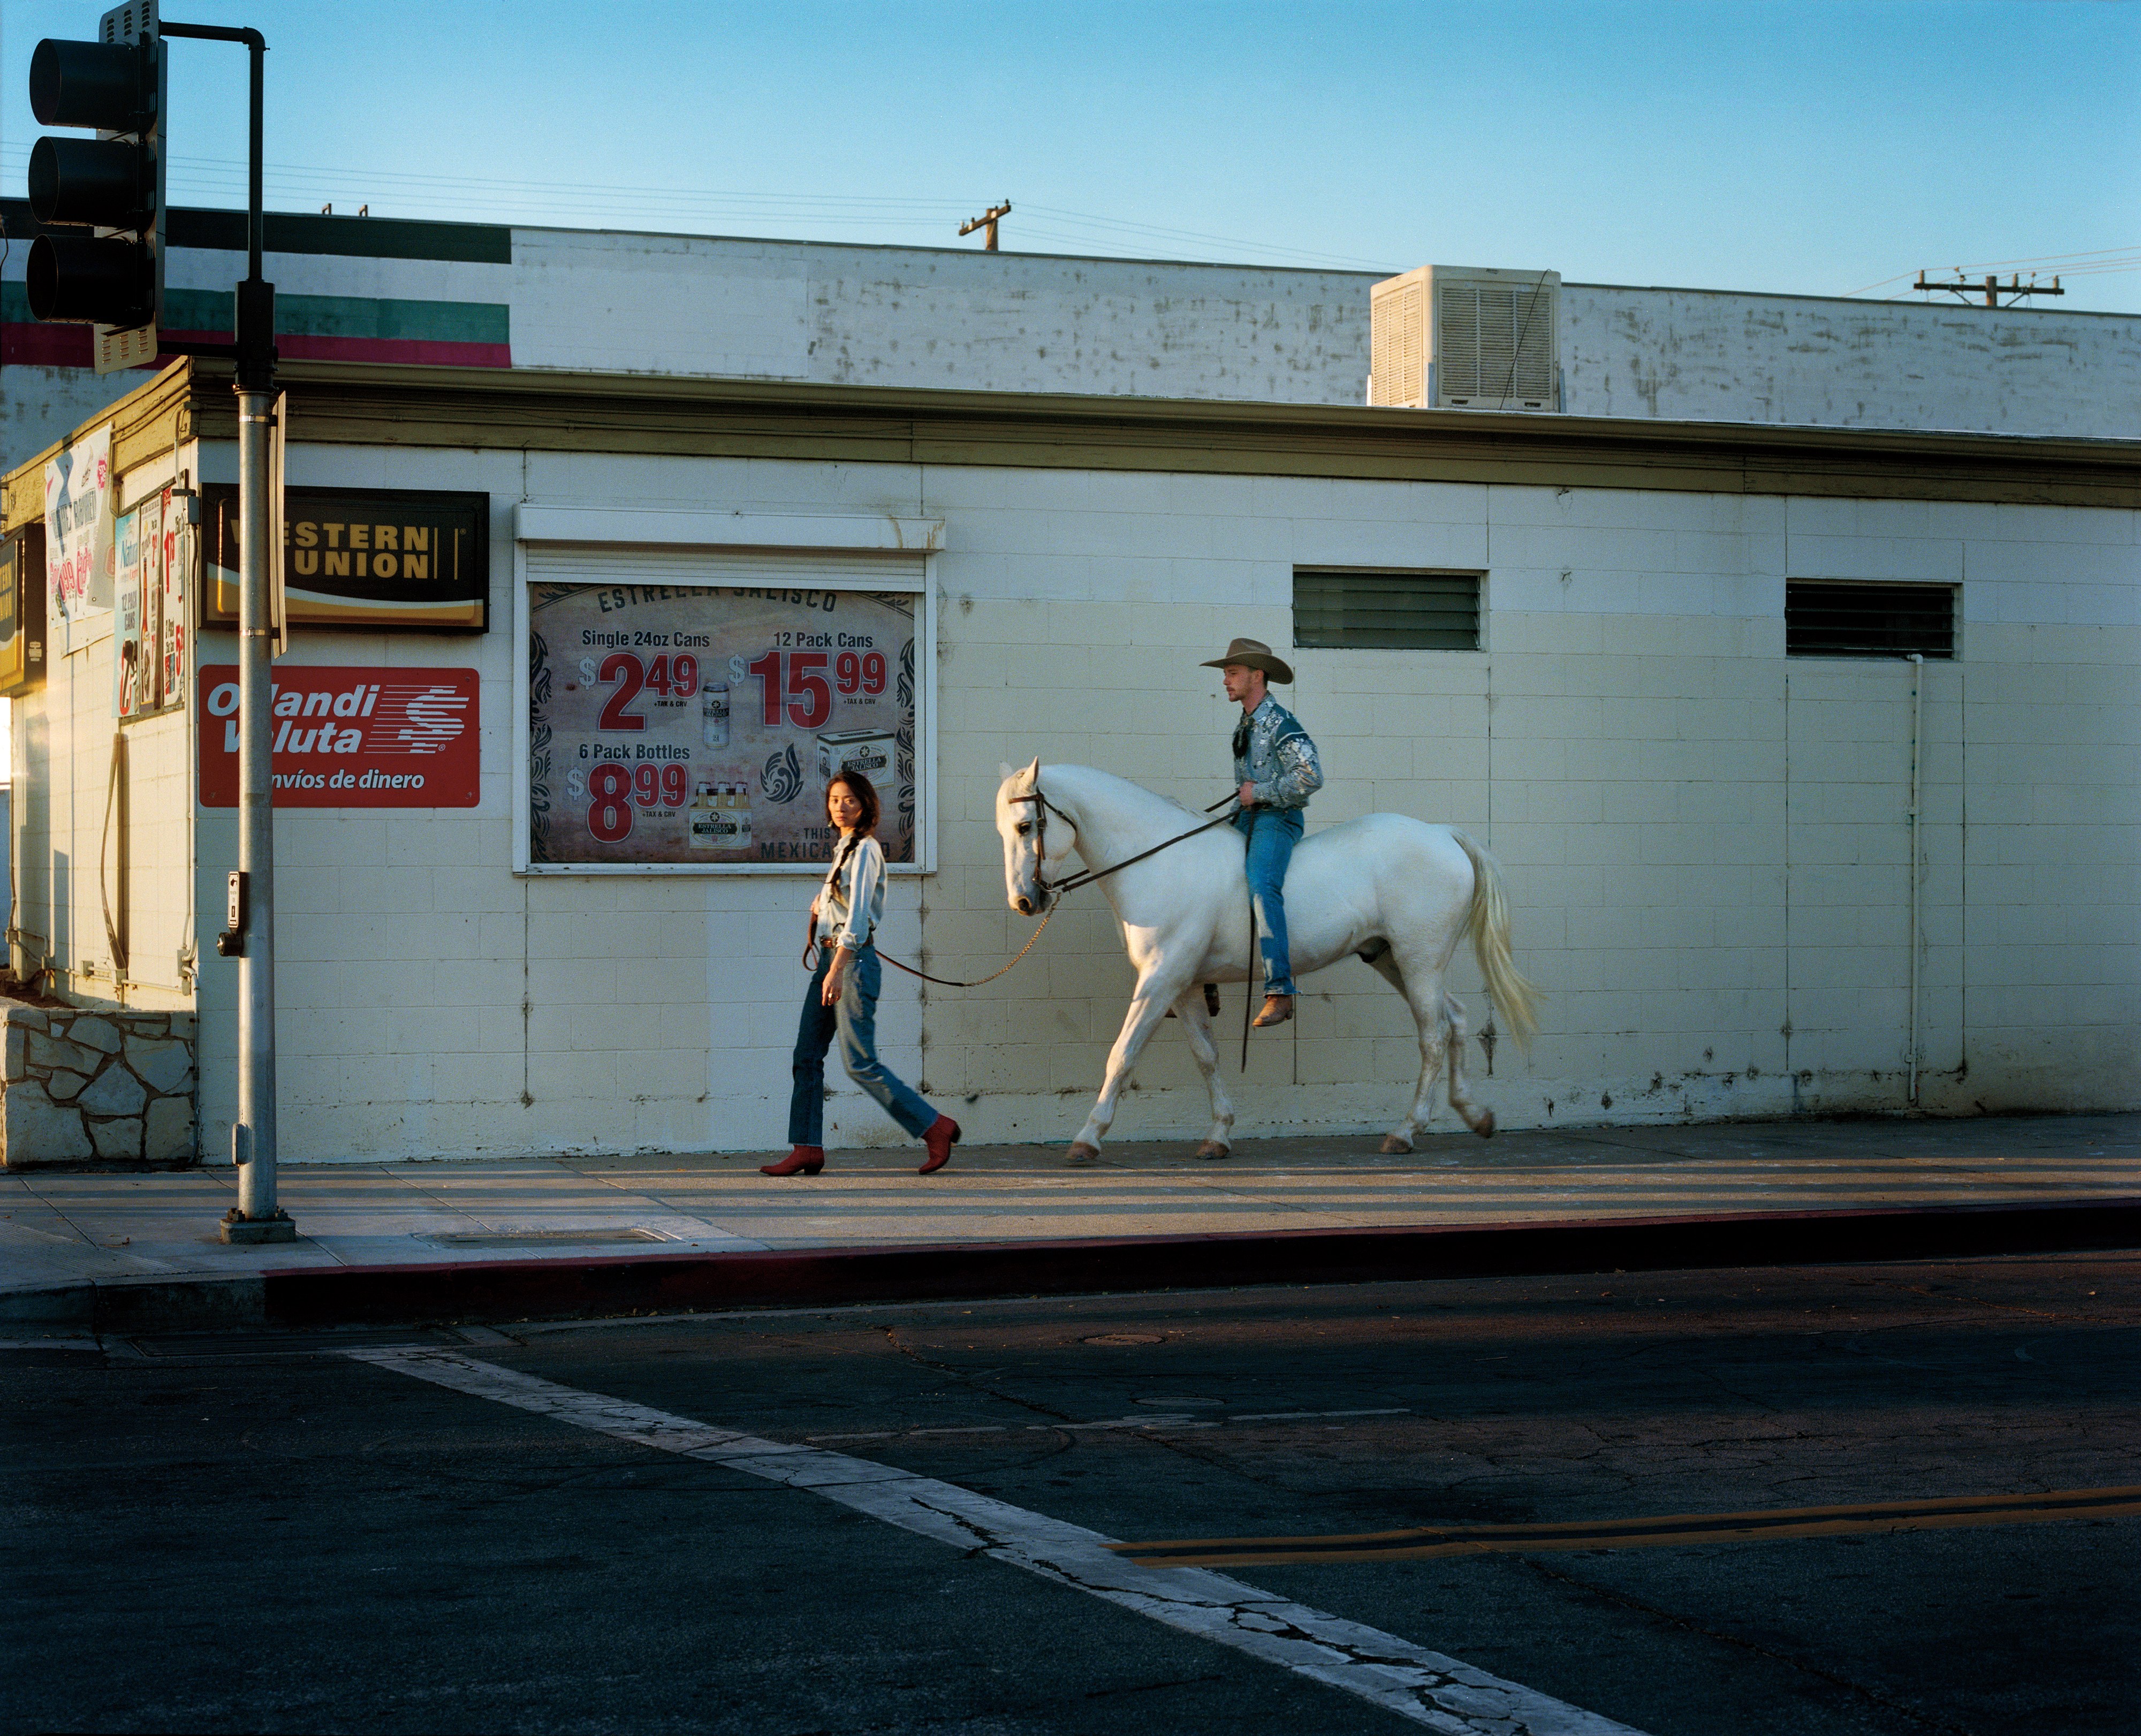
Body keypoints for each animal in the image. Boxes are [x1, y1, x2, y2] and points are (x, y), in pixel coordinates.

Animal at [993, 762, 1533, 1164]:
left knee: (1433, 1036)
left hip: (1419, 960)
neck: (1159, 861)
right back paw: (1474, 1115)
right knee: (1456, 1019)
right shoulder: (1184, 986)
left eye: (1025, 826)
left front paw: (1087, 1138)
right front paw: (1218, 1135)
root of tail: (1442, 834)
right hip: (1396, 961)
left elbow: (1122, 1055)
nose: (1024, 901)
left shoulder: (1160, 979)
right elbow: (1206, 1055)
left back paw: (1405, 1131)